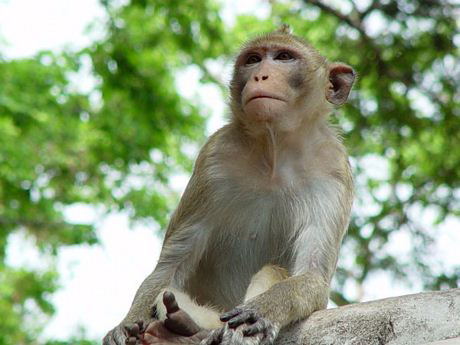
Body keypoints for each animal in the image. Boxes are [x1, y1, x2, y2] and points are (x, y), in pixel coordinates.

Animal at [105, 25, 356, 344]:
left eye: (284, 57)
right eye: (253, 60)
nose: (260, 75)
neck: (274, 152)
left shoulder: (333, 171)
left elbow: (312, 276)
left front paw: (261, 312)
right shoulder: (213, 159)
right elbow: (169, 268)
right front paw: (126, 325)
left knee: (273, 271)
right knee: (168, 291)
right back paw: (181, 327)